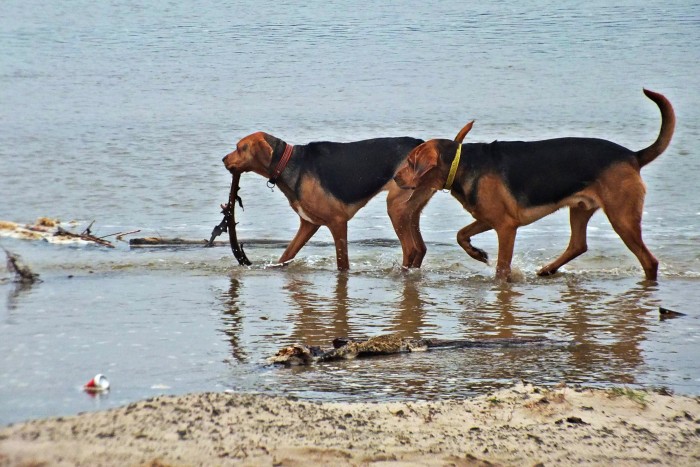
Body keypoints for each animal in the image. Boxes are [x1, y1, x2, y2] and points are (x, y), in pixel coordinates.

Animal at [221, 133, 440, 270]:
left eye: (239, 148)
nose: (223, 159)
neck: (288, 163)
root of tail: (420, 144)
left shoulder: (338, 222)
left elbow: (342, 264)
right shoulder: (308, 224)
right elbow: (286, 256)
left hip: (395, 208)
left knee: (410, 249)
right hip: (410, 211)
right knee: (420, 248)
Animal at [394, 90, 672, 282]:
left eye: (410, 162)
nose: (395, 179)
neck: (461, 163)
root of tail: (633, 156)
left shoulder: (506, 227)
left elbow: (501, 267)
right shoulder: (488, 218)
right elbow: (461, 235)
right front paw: (477, 253)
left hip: (622, 217)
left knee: (649, 261)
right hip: (581, 208)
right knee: (578, 244)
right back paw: (548, 270)